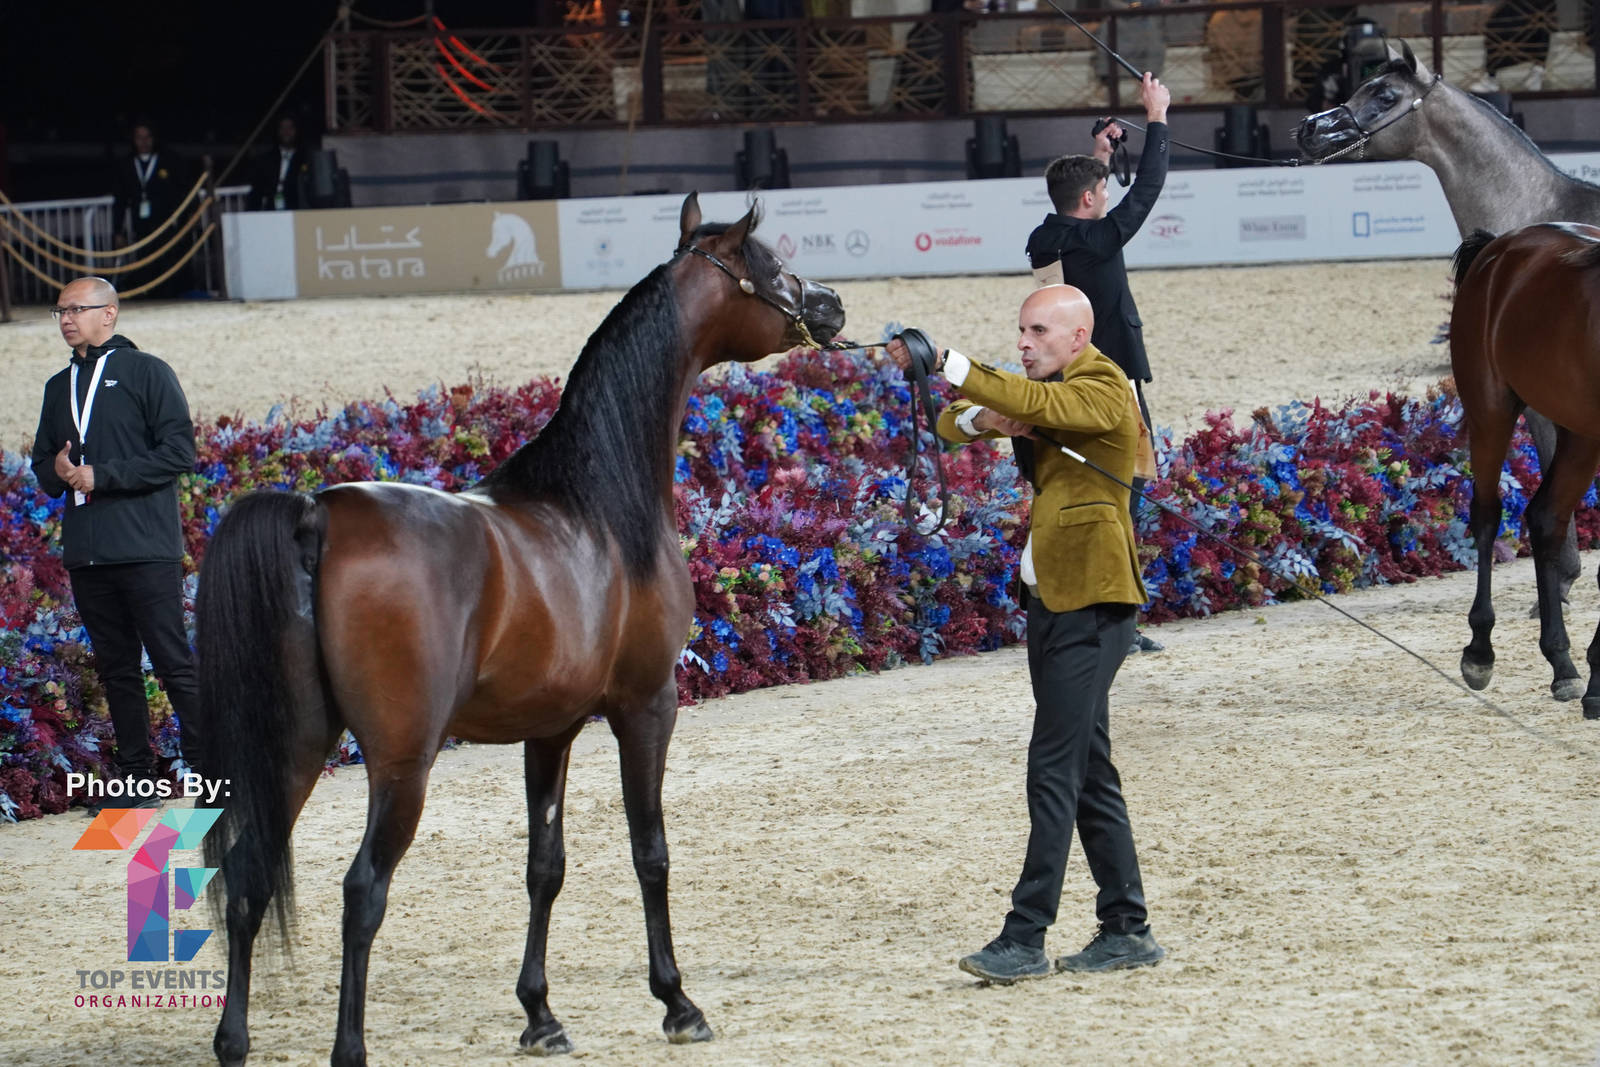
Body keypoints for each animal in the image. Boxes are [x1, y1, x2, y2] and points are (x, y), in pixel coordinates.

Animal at [194, 193, 847, 1066]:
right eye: (770, 265)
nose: (830, 306)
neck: (599, 503)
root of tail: (315, 514)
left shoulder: (551, 728)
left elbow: (546, 864)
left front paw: (539, 1011)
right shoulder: (646, 706)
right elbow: (650, 850)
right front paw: (677, 1000)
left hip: (295, 741)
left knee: (248, 874)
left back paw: (233, 1040)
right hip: (400, 762)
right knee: (362, 890)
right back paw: (349, 1046)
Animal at [1449, 221, 1600, 721]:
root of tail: (1501, 245)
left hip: (1580, 433)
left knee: (1547, 518)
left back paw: (1564, 664)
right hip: (1489, 412)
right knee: (1487, 515)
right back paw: (1480, 652)